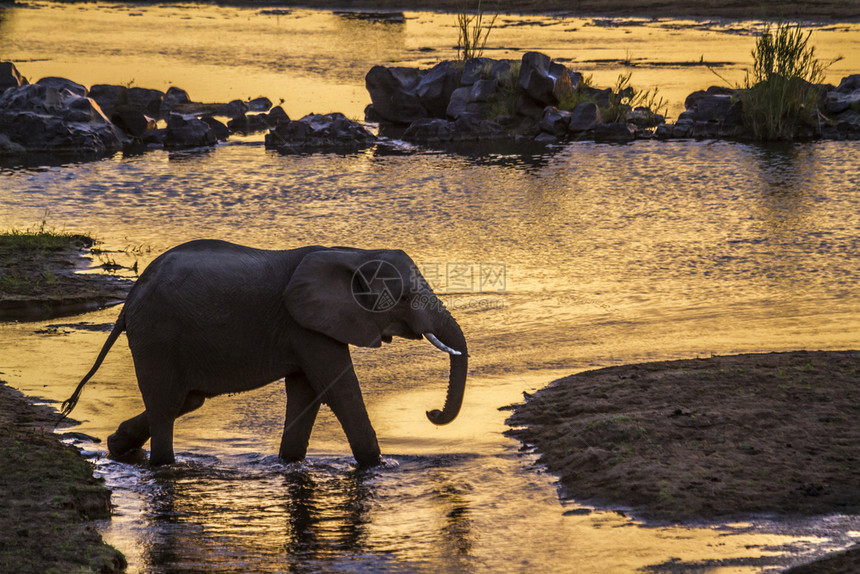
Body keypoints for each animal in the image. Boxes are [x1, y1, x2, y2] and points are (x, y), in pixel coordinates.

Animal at [62, 240, 470, 468]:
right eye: (404, 298)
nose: (431, 413)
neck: (354, 253)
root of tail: (130, 297)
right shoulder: (306, 325)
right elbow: (339, 390)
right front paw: (378, 467)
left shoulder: (308, 327)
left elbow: (307, 392)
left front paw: (289, 462)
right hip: (157, 335)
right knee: (166, 405)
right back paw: (164, 466)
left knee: (184, 400)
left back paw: (116, 447)